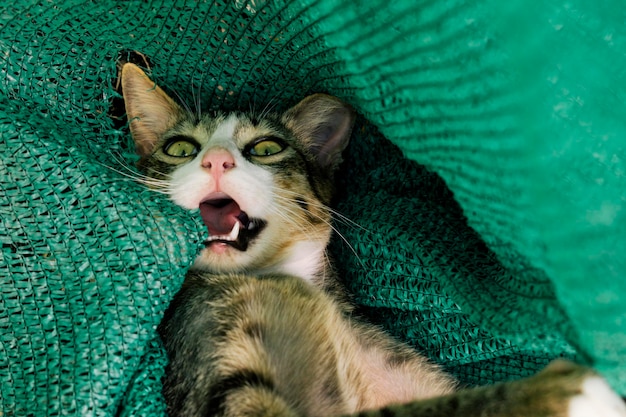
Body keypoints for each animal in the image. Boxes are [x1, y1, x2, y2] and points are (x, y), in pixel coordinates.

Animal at [120, 62, 624, 416]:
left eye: (266, 147)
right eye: (180, 148)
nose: (216, 161)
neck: (282, 278)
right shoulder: (215, 370)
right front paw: (560, 392)